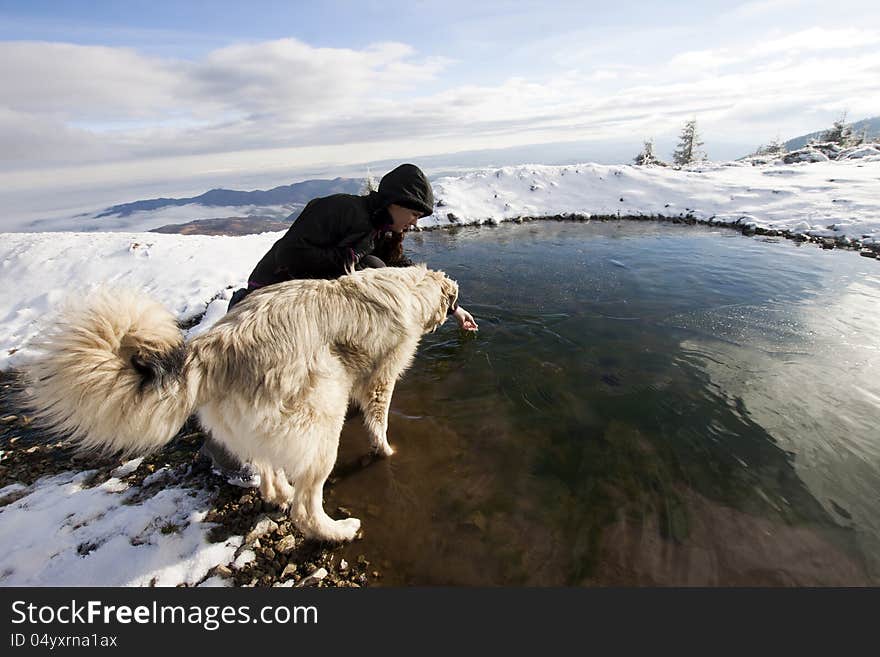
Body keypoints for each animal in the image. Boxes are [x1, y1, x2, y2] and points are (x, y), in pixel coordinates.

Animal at [25, 264, 460, 540]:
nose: (460, 312)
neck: (410, 287)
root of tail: (216, 347)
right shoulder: (381, 379)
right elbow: (379, 420)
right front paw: (385, 449)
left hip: (261, 422)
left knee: (266, 466)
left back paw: (277, 492)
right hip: (321, 424)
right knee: (305, 506)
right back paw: (336, 531)